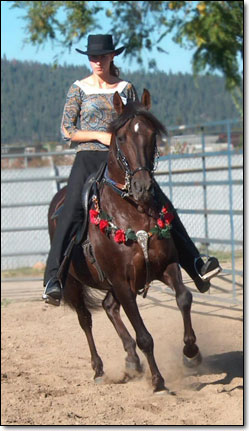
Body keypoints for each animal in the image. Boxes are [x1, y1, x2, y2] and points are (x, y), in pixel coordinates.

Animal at [47, 89, 201, 394]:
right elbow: (145, 336)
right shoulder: (121, 281)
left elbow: (184, 298)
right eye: (120, 137)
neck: (133, 216)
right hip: (72, 285)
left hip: (109, 285)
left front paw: (191, 353)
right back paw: (98, 369)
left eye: (152, 134)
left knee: (109, 307)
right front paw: (158, 382)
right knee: (86, 320)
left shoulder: (166, 266)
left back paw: (131, 361)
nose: (143, 187)